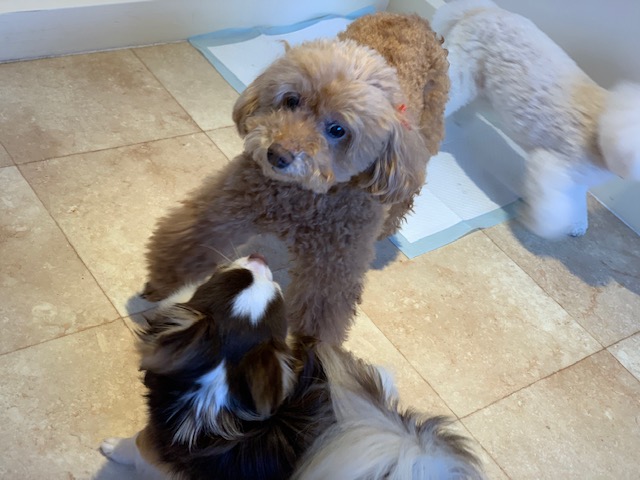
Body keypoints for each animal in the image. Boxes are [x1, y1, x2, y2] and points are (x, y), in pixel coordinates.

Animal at [101, 255, 484, 479]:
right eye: (240, 278)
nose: (258, 256)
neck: (217, 389)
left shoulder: (154, 444)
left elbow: (132, 446)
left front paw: (110, 447)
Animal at [141, 12, 450, 344]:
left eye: (337, 130)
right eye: (291, 100)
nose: (277, 155)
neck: (302, 197)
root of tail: (411, 16)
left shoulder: (334, 264)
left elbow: (322, 311)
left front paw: (310, 351)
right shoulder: (228, 205)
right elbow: (189, 240)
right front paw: (158, 285)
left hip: (425, 141)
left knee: (406, 196)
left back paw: (388, 227)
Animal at [433, 0, 640, 238]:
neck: (604, 132)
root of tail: (484, 9)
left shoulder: (577, 180)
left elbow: (577, 201)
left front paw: (579, 224)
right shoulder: (553, 167)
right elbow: (552, 210)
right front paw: (539, 222)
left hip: (483, 84)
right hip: (463, 72)